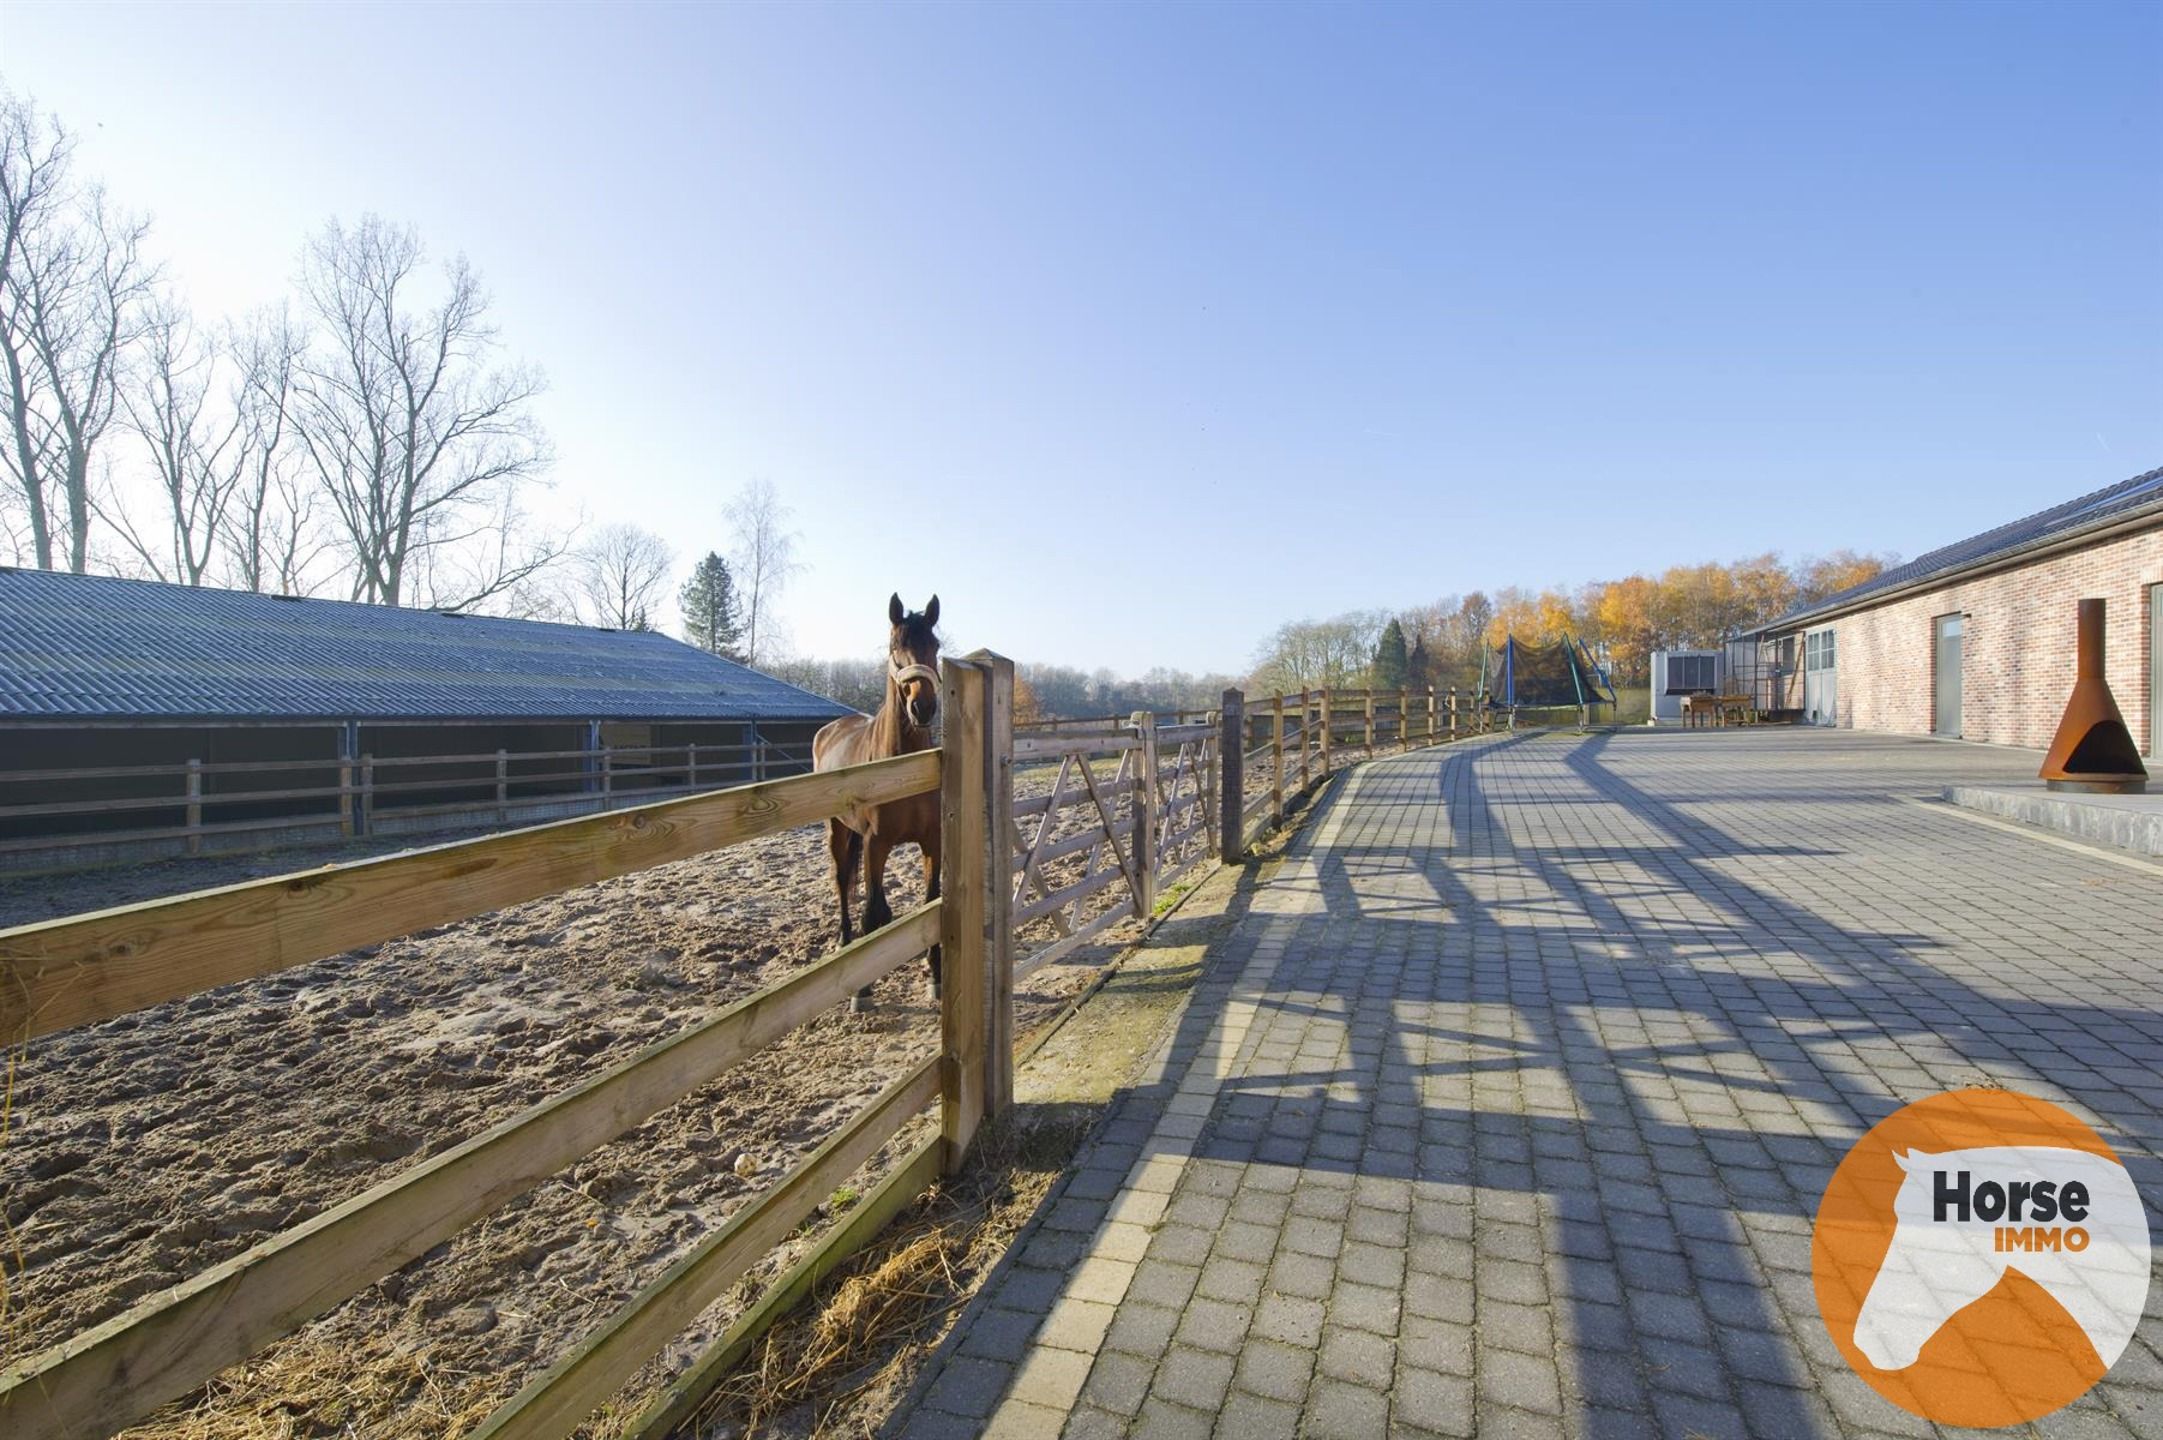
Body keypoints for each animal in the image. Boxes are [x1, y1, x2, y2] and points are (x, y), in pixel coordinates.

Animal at [813, 588, 943, 1003]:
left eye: (935, 645)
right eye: (895, 645)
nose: (923, 706)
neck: (902, 768)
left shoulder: (932, 841)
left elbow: (931, 901)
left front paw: (936, 974)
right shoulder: (875, 843)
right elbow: (871, 912)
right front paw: (863, 990)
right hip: (838, 830)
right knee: (842, 882)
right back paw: (844, 941)